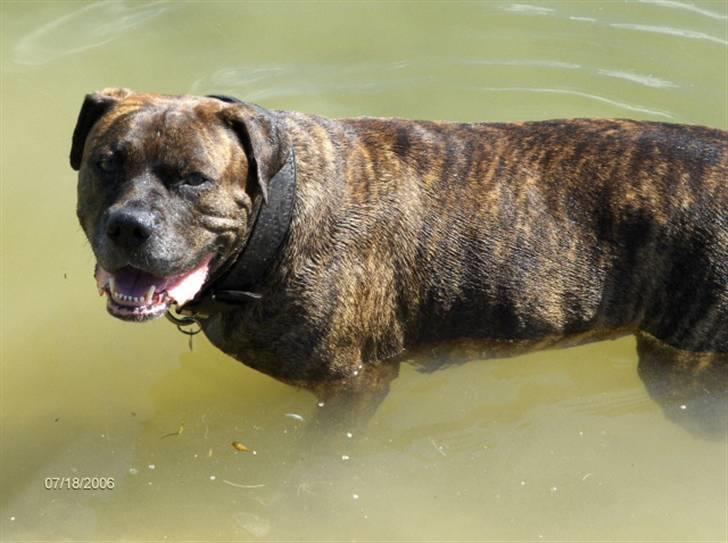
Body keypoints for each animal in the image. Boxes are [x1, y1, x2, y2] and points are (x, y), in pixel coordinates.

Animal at [71, 89, 724, 434]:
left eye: (194, 179)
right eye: (105, 163)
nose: (129, 225)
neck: (279, 215)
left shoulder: (354, 386)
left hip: (684, 366)